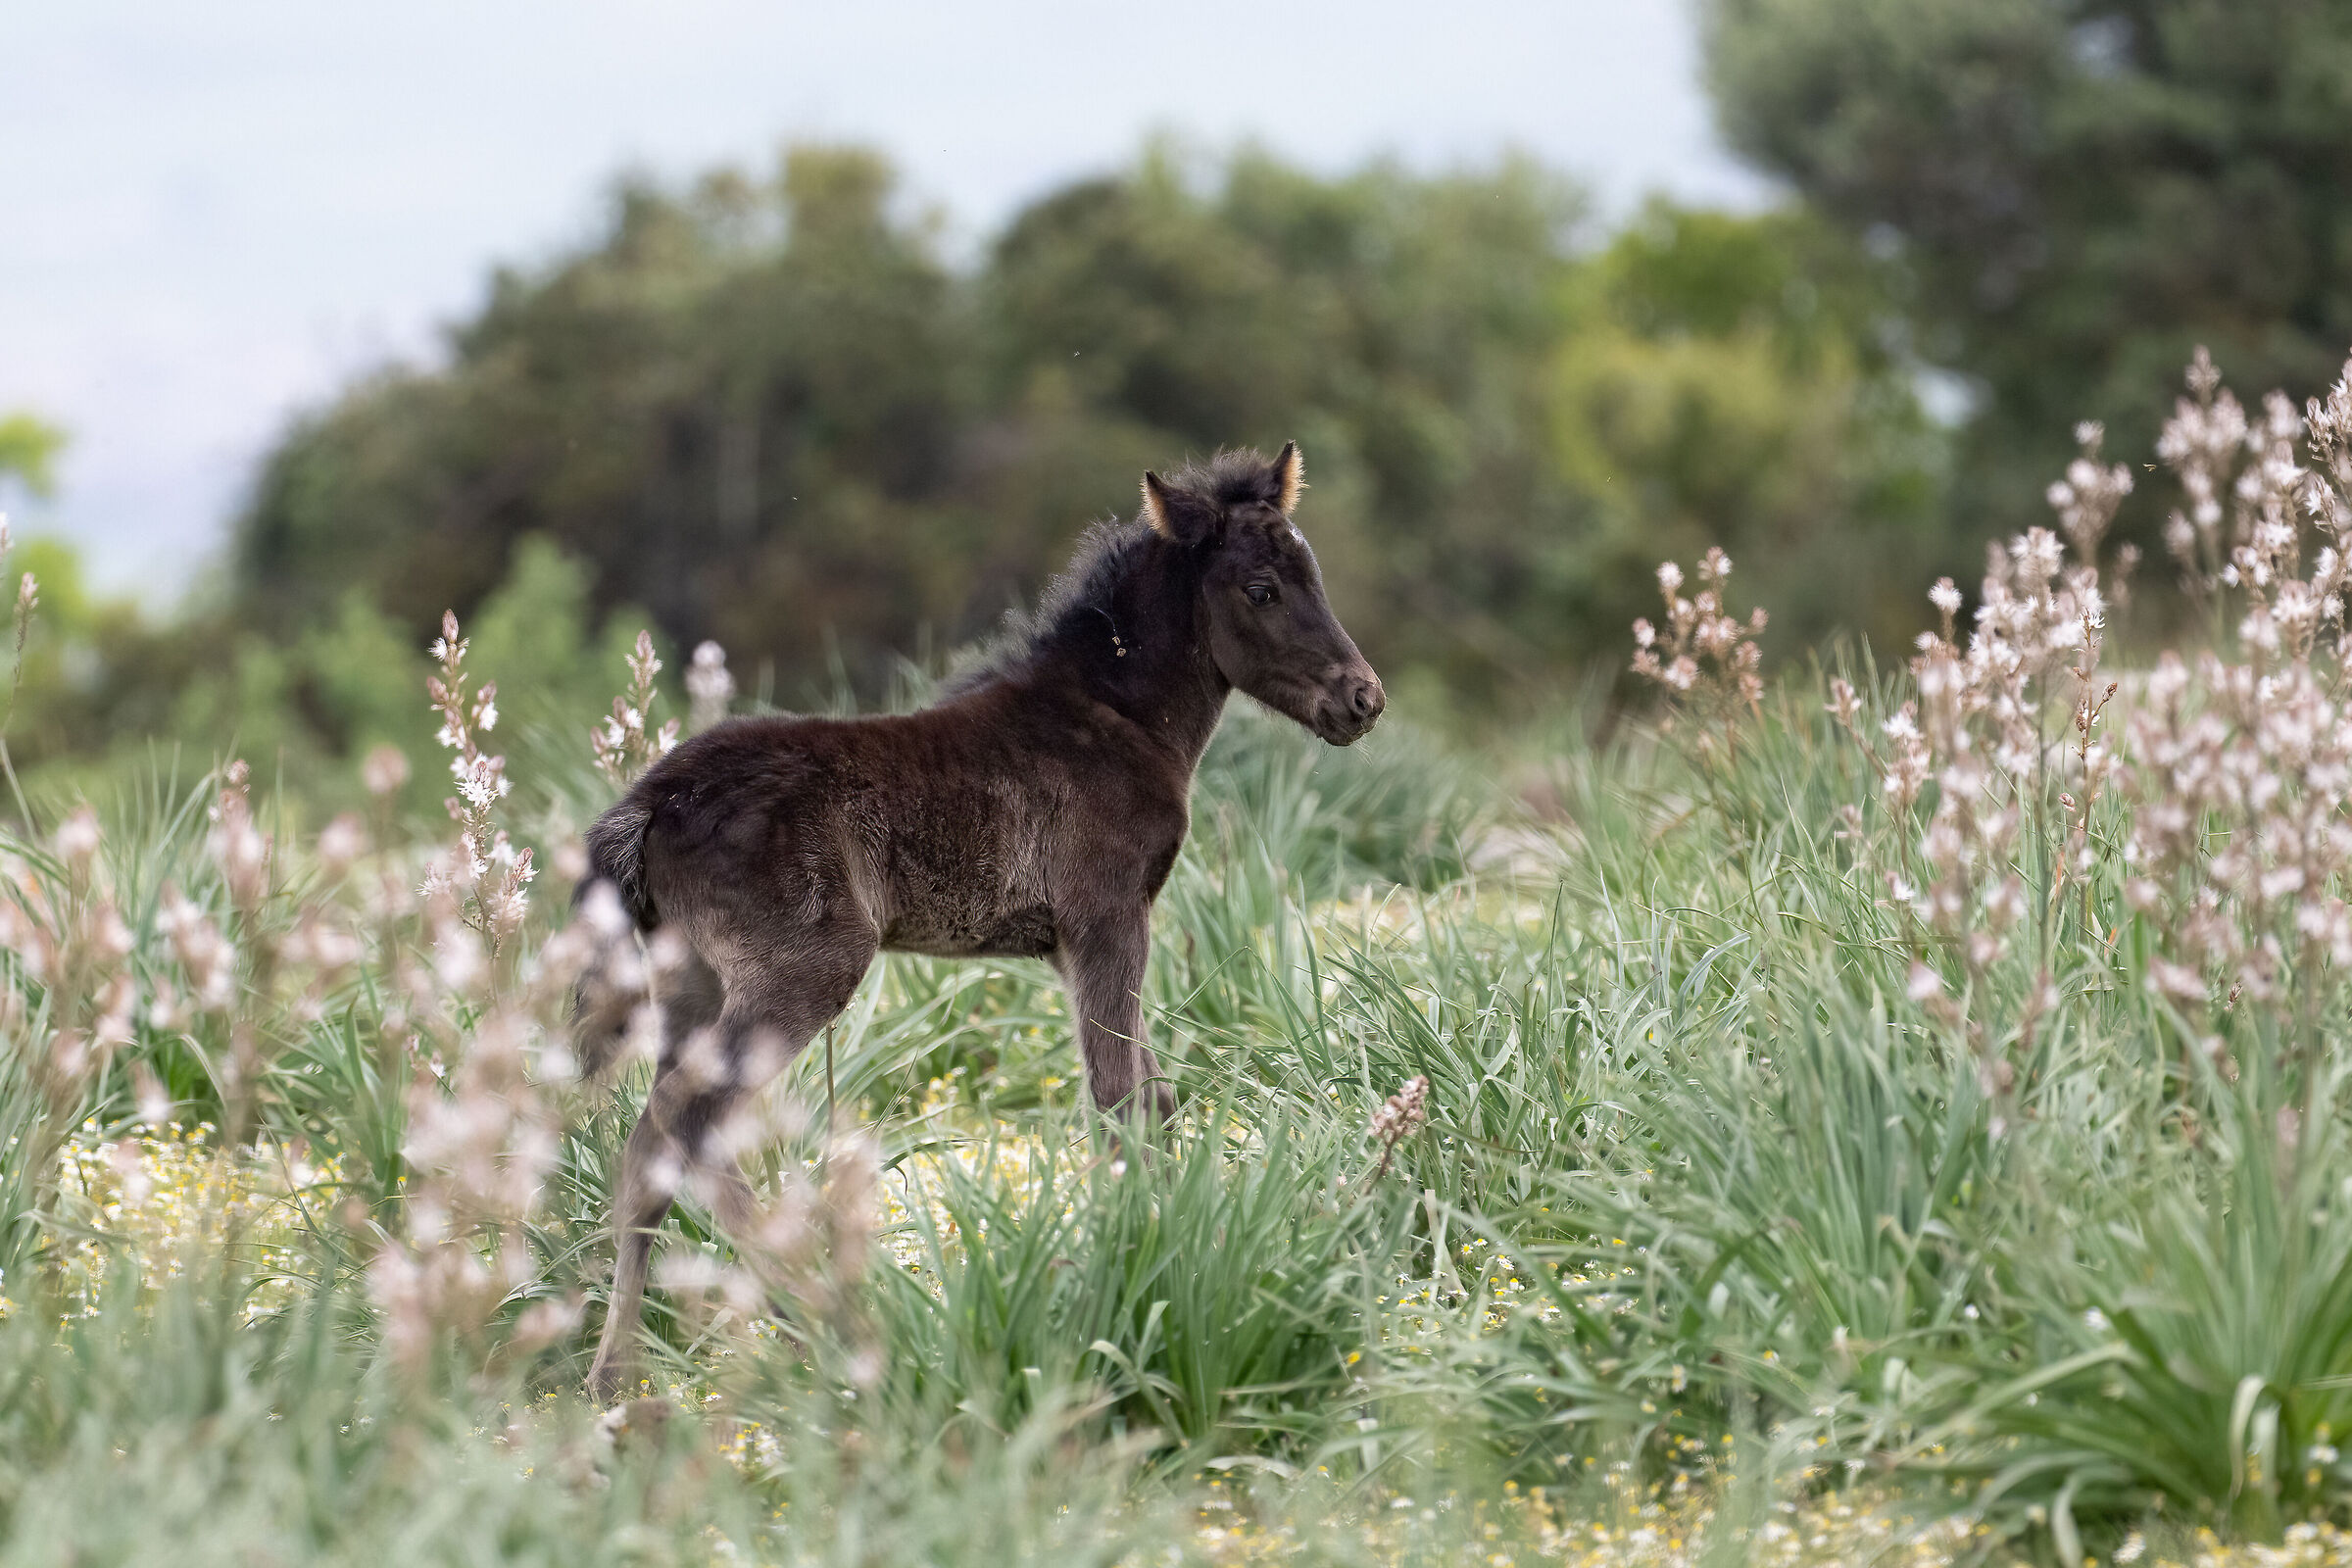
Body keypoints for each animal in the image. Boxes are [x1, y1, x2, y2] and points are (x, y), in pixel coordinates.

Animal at [575, 442, 1383, 1401]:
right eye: (1261, 589)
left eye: (1313, 574)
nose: (1363, 699)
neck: (1118, 719)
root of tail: (650, 802)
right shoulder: (1107, 918)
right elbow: (1120, 1102)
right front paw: (1138, 1265)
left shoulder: (1071, 945)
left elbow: (1153, 1096)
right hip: (801, 969)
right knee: (691, 1123)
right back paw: (829, 1322)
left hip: (690, 979)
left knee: (647, 1148)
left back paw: (614, 1380)